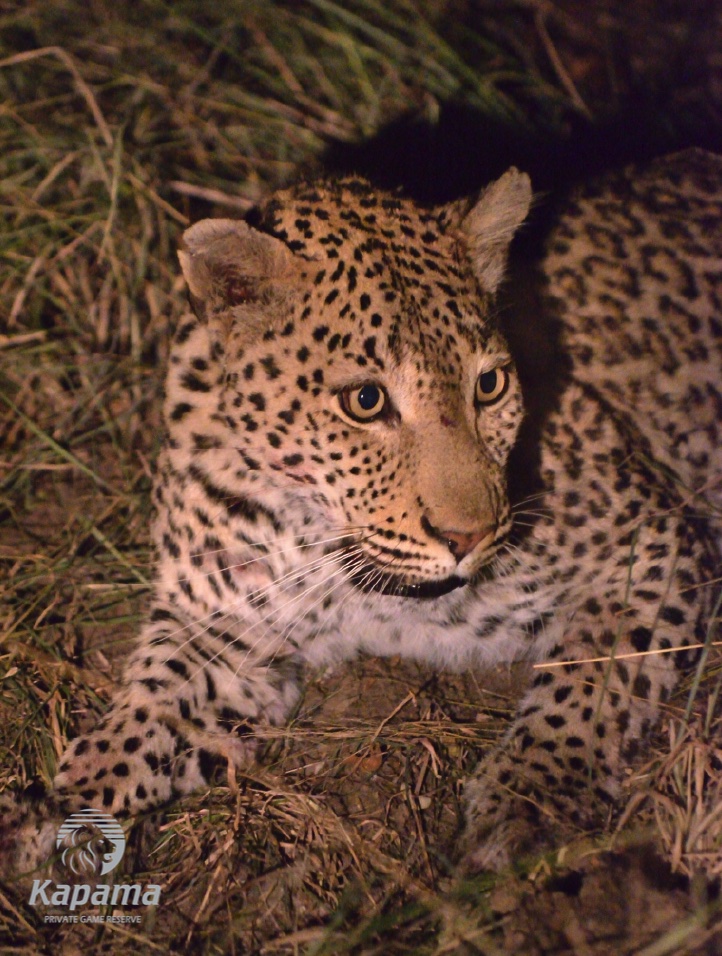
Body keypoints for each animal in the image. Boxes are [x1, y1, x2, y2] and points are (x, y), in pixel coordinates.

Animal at [3, 148, 722, 878]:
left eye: (489, 385)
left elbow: (590, 686)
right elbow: (143, 716)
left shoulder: (648, 548)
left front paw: (527, 796)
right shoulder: (221, 631)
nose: (468, 536)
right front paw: (56, 810)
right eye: (366, 401)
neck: (327, 547)